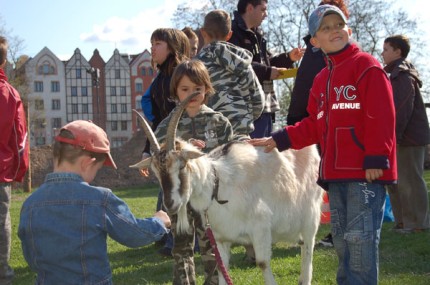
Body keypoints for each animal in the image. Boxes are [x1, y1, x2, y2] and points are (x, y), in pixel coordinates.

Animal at [131, 93, 322, 284]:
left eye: (182, 165)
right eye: (155, 172)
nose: (170, 204)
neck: (217, 185)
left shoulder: (261, 228)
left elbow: (262, 263)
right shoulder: (221, 238)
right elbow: (222, 270)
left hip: (311, 216)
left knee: (308, 247)